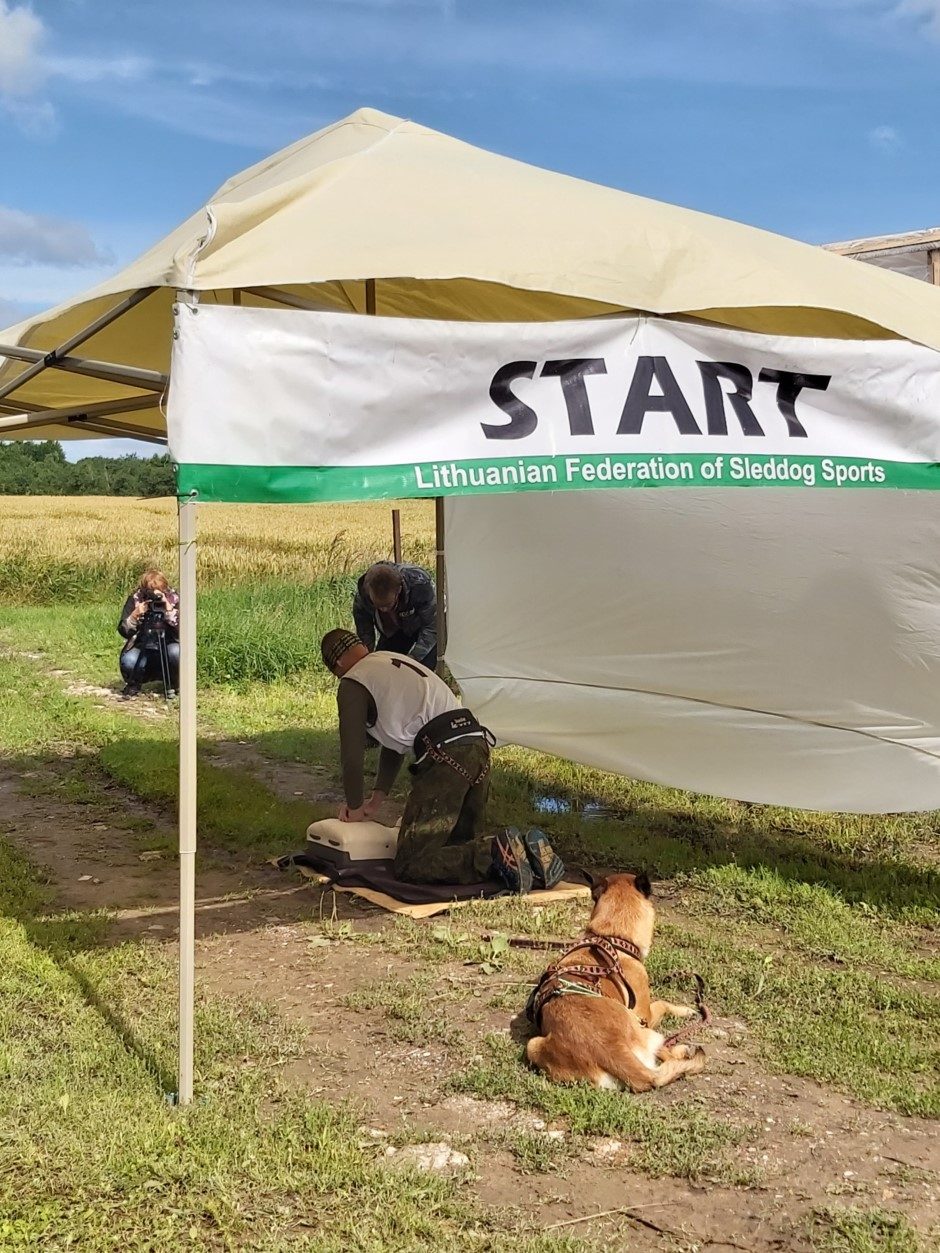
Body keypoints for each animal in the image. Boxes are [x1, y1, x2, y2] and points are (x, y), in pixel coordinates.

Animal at [526, 872, 701, 1087]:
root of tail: (609, 1049)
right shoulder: (645, 1014)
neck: (612, 936)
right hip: (643, 1028)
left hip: (533, 1046)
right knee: (666, 1055)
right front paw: (685, 1010)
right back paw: (683, 1051)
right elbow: (662, 1003)